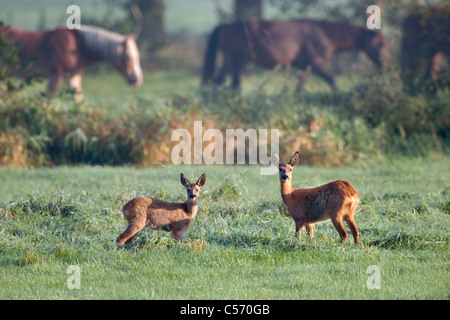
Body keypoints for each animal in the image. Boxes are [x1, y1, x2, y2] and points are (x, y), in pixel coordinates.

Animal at [0, 24, 143, 100]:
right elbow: (47, 99)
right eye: (128, 57)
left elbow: (78, 99)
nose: (137, 80)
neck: (77, 45)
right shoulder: (56, 74)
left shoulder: (75, 75)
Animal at [202, 18, 388, 91]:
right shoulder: (315, 63)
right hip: (238, 60)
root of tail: (227, 26)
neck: (323, 33)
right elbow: (332, 80)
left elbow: (299, 88)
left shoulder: (304, 67)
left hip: (230, 61)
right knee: (233, 82)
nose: (385, 63)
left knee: (218, 80)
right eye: (380, 45)